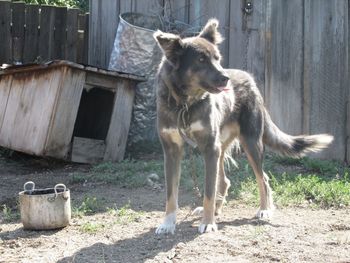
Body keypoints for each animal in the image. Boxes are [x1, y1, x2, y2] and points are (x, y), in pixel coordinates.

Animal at [154, 18, 334, 235]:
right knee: (224, 181)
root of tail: (250, 80)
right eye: (201, 60)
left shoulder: (209, 147)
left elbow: (208, 191)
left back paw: (263, 210)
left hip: (250, 144)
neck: (184, 104)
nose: (226, 79)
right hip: (222, 149)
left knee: (263, 178)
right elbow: (171, 194)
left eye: (217, 58)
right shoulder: (172, 150)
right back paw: (215, 210)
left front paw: (208, 223)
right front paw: (168, 223)